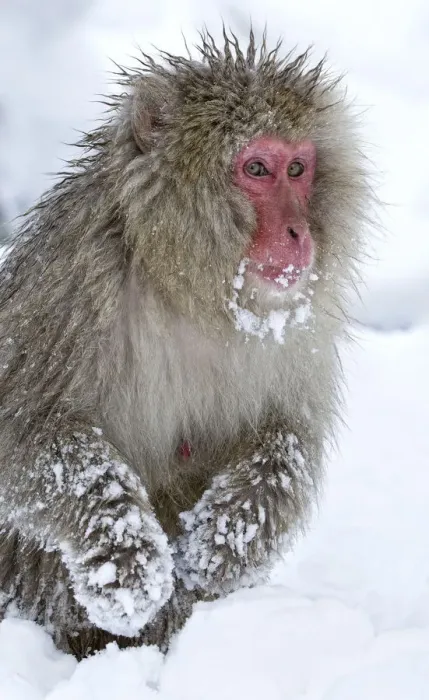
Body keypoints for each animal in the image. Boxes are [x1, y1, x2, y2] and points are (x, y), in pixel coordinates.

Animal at [0, 30, 371, 658]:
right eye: (257, 168)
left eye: (298, 168)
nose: (300, 233)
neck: (186, 288)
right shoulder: (69, 292)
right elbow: (26, 436)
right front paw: (125, 557)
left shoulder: (298, 329)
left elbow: (287, 434)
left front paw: (227, 537)